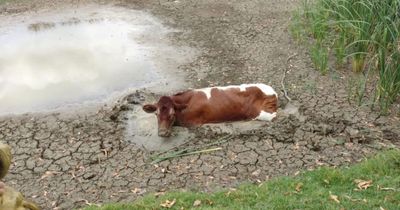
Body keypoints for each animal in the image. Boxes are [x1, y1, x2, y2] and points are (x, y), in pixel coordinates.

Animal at [143, 83, 278, 138]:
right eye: (156, 114)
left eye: (172, 114)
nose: (162, 133)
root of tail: (273, 92)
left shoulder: (193, 123)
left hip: (263, 114)